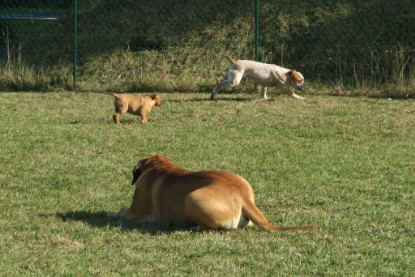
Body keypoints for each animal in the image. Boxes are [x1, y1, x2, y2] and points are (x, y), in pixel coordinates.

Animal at [109, 155, 318, 231]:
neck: (159, 167)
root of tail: (242, 197)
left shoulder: (134, 211)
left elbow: (121, 211)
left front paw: (112, 213)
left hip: (191, 198)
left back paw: (195, 227)